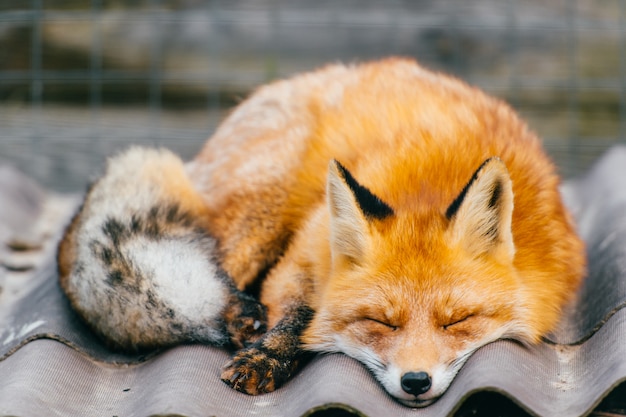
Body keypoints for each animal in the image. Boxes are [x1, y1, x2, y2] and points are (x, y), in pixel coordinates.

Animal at [56, 58, 584, 406]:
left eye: (457, 322)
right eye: (381, 322)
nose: (416, 382)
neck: (425, 189)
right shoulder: (301, 255)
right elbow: (300, 314)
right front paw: (266, 357)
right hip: (264, 208)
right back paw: (239, 320)